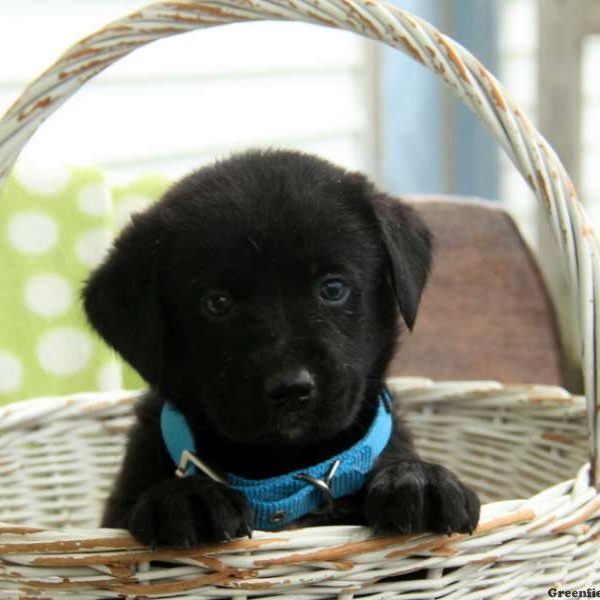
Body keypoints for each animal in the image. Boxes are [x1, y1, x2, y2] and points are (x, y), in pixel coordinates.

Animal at [83, 150, 478, 548]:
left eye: (333, 288)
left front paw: (418, 479)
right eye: (217, 303)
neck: (286, 476)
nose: (291, 389)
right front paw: (187, 496)